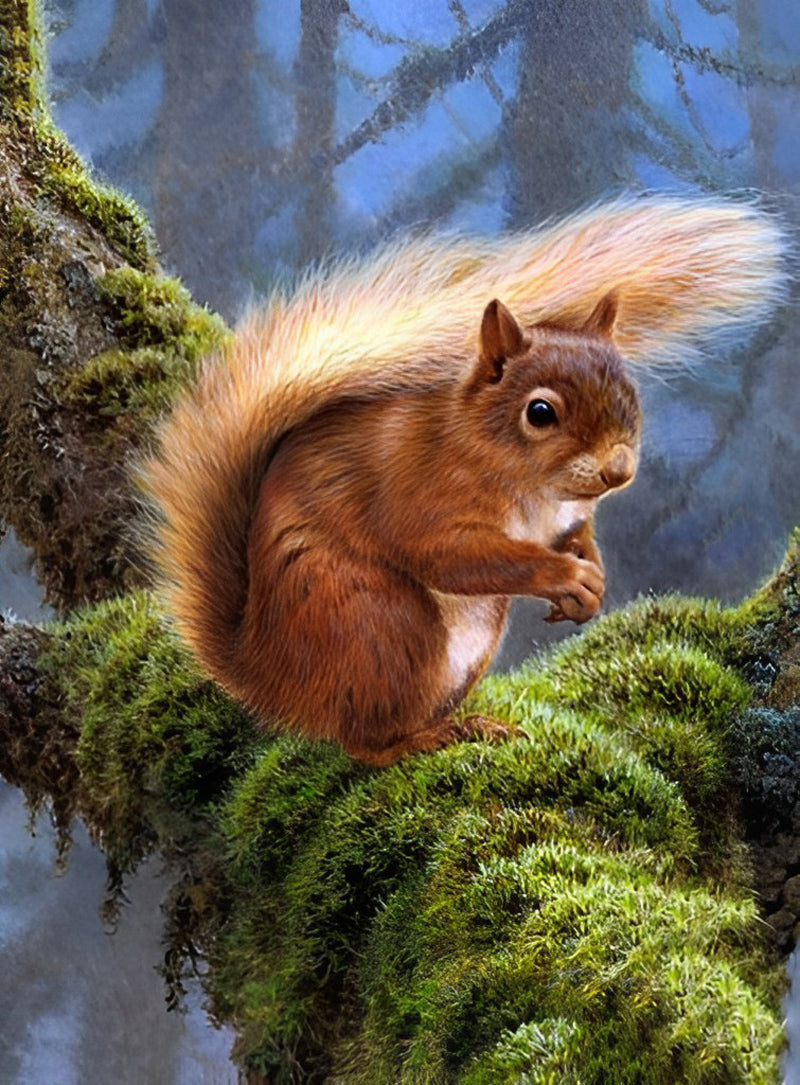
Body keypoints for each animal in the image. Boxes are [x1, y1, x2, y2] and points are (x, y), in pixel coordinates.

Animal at [140, 195, 786, 766]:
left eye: (628, 391)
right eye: (540, 412)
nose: (618, 469)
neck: (532, 488)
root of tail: (268, 675)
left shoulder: (567, 517)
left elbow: (579, 537)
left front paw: (593, 580)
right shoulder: (421, 495)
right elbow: (453, 555)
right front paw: (564, 577)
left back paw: (472, 723)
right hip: (378, 622)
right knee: (362, 743)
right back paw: (427, 740)